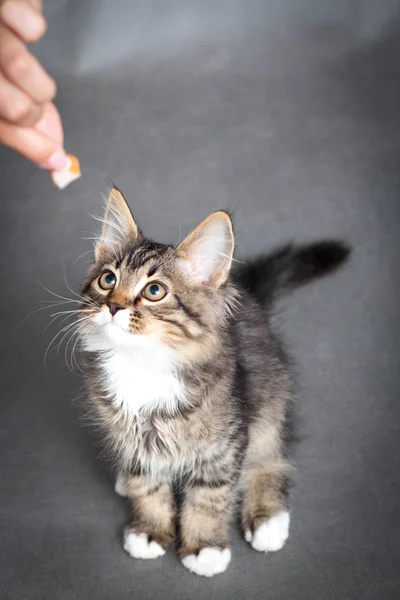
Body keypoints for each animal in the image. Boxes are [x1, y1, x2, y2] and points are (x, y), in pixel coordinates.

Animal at [76, 188, 350, 576]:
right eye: (108, 280)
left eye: (154, 291)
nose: (113, 306)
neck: (143, 363)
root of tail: (253, 302)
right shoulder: (130, 435)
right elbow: (147, 485)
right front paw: (150, 529)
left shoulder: (225, 442)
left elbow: (209, 497)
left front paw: (204, 546)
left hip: (269, 406)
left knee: (271, 460)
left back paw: (268, 519)